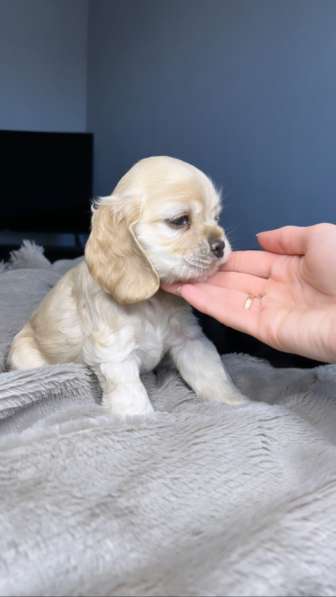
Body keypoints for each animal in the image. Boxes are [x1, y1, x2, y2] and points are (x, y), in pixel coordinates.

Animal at [8, 155, 244, 414]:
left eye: (216, 218)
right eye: (180, 221)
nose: (221, 246)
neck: (154, 302)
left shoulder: (190, 341)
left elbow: (213, 375)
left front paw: (238, 403)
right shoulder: (116, 354)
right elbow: (132, 397)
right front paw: (141, 419)